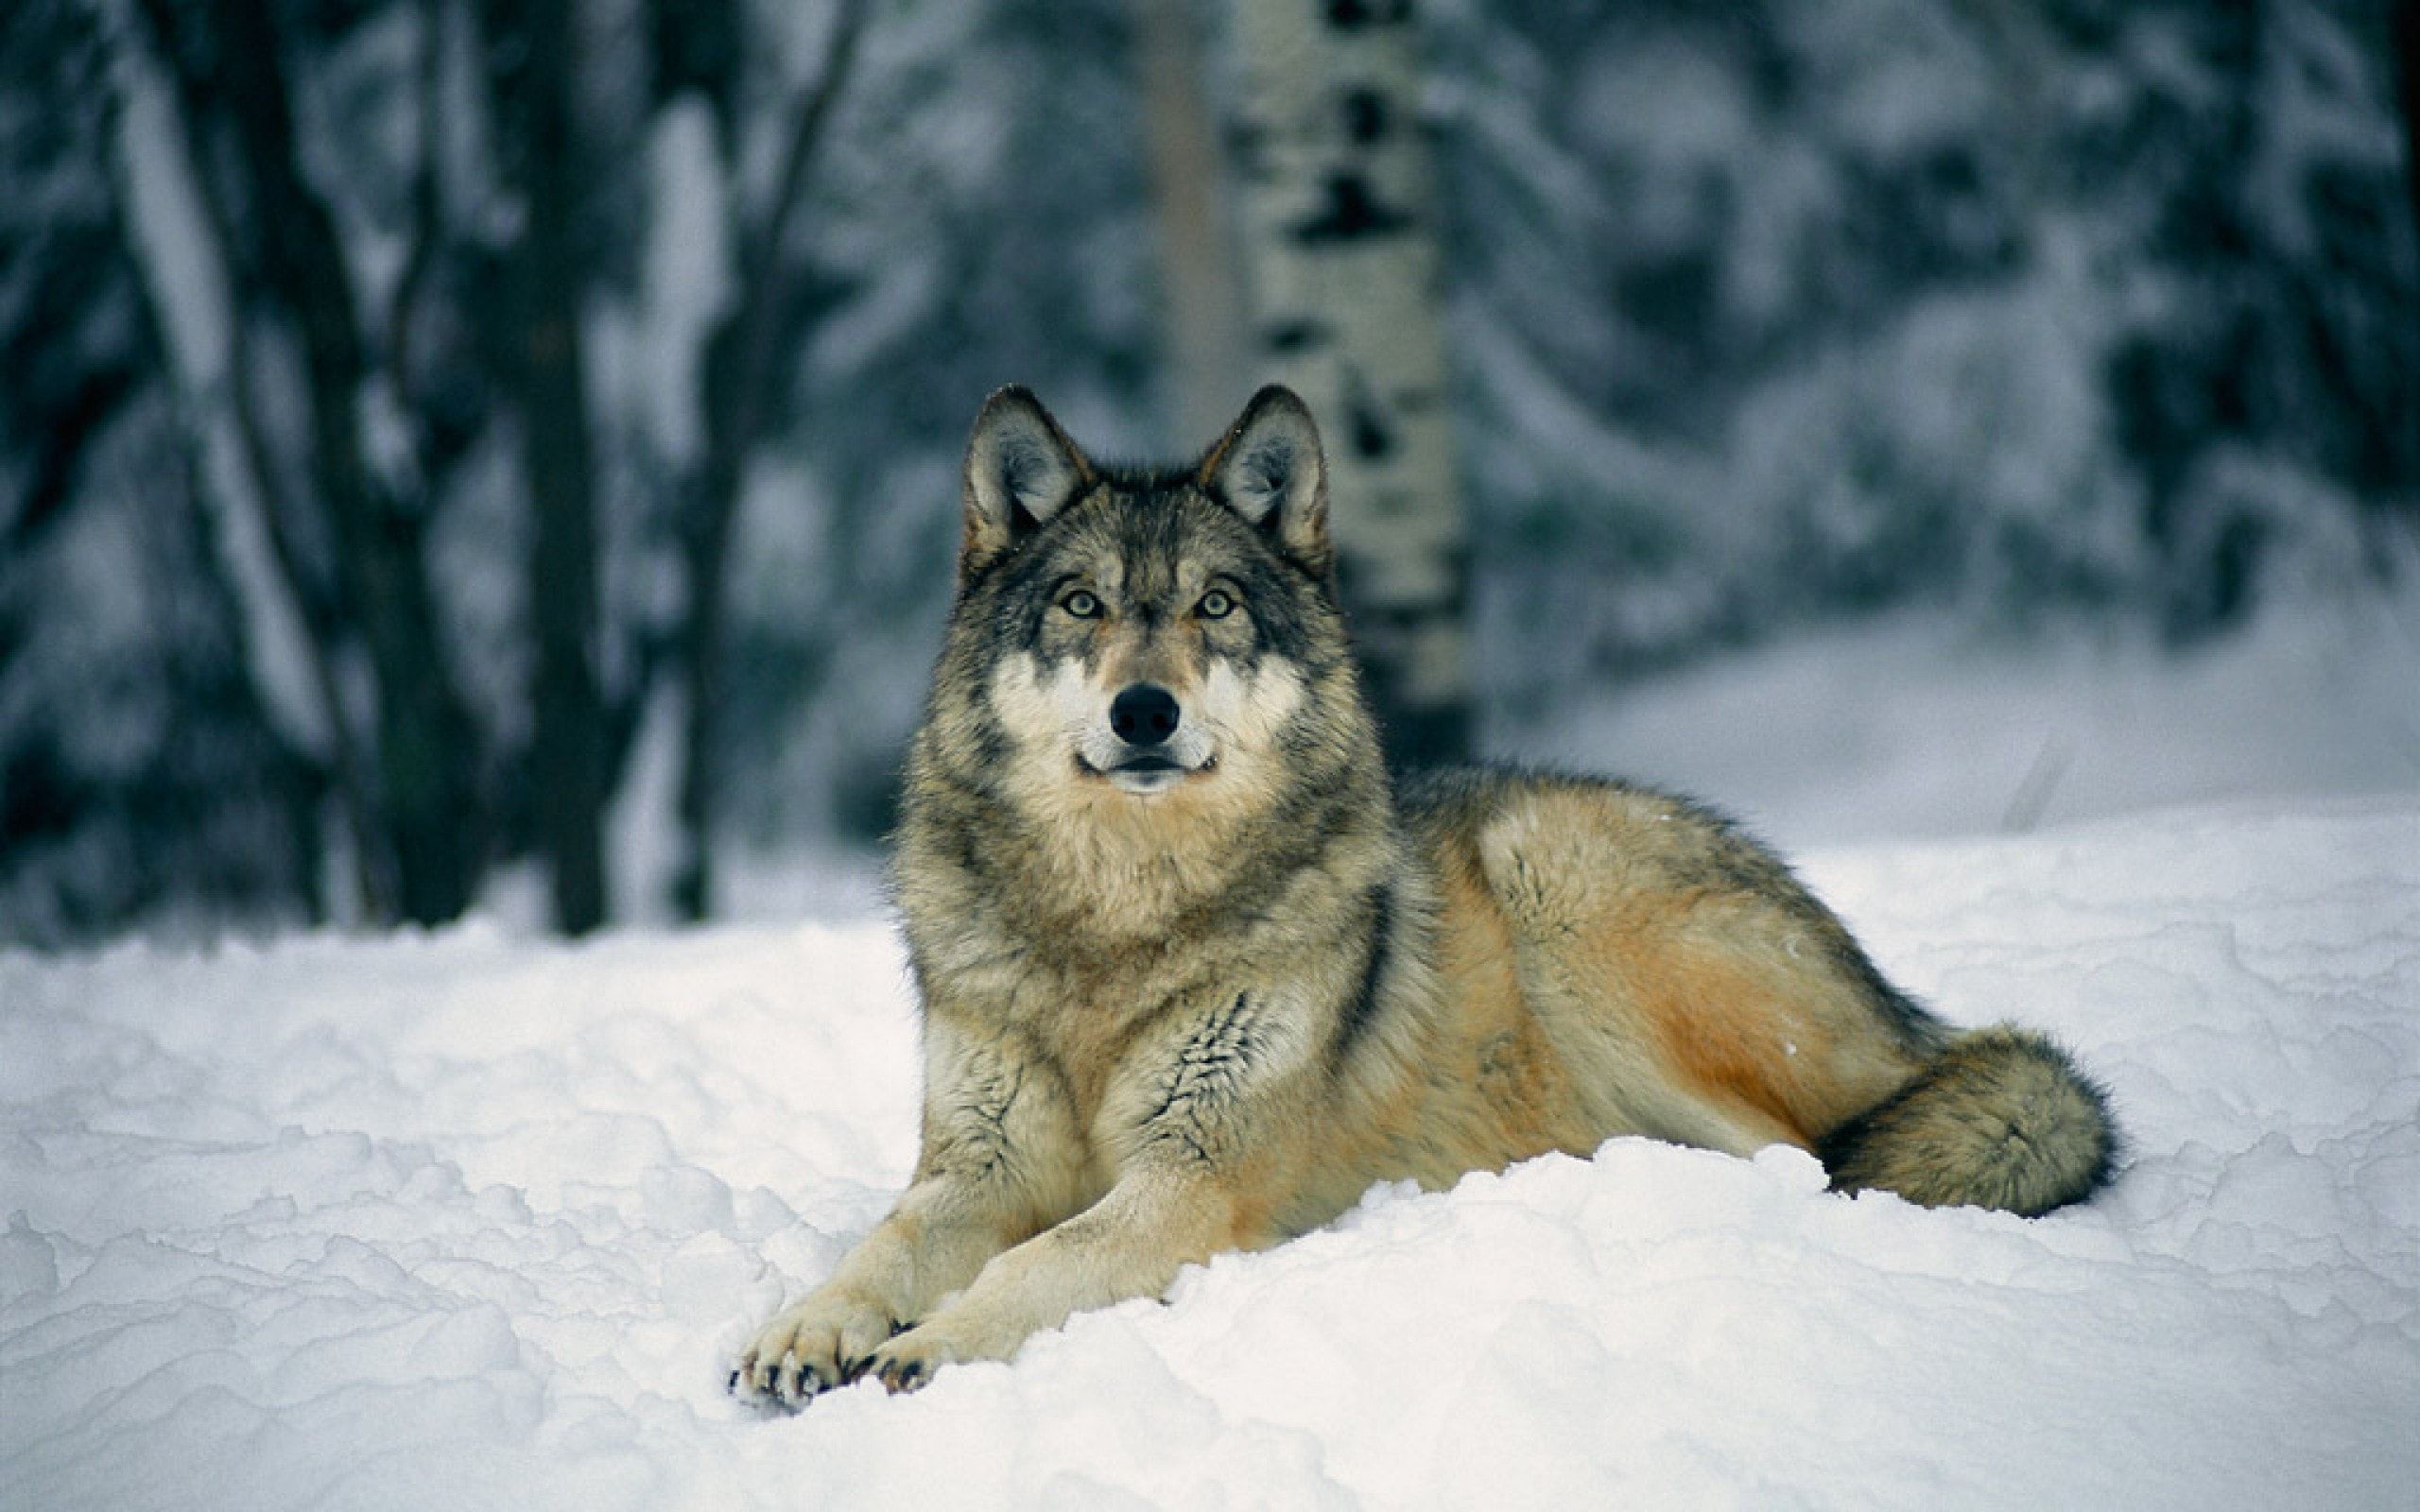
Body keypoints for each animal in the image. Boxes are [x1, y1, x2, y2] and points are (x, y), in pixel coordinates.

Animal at [731, 384, 2117, 1406]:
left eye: (1213, 605)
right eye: (1083, 604)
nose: (1145, 711)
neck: (1118, 923)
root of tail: (1904, 1010)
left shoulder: (1190, 1179)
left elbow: (1037, 1262)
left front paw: (926, 1345)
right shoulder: (976, 1168)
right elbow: (882, 1246)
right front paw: (805, 1329)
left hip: (1563, 891)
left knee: (1809, 1160)